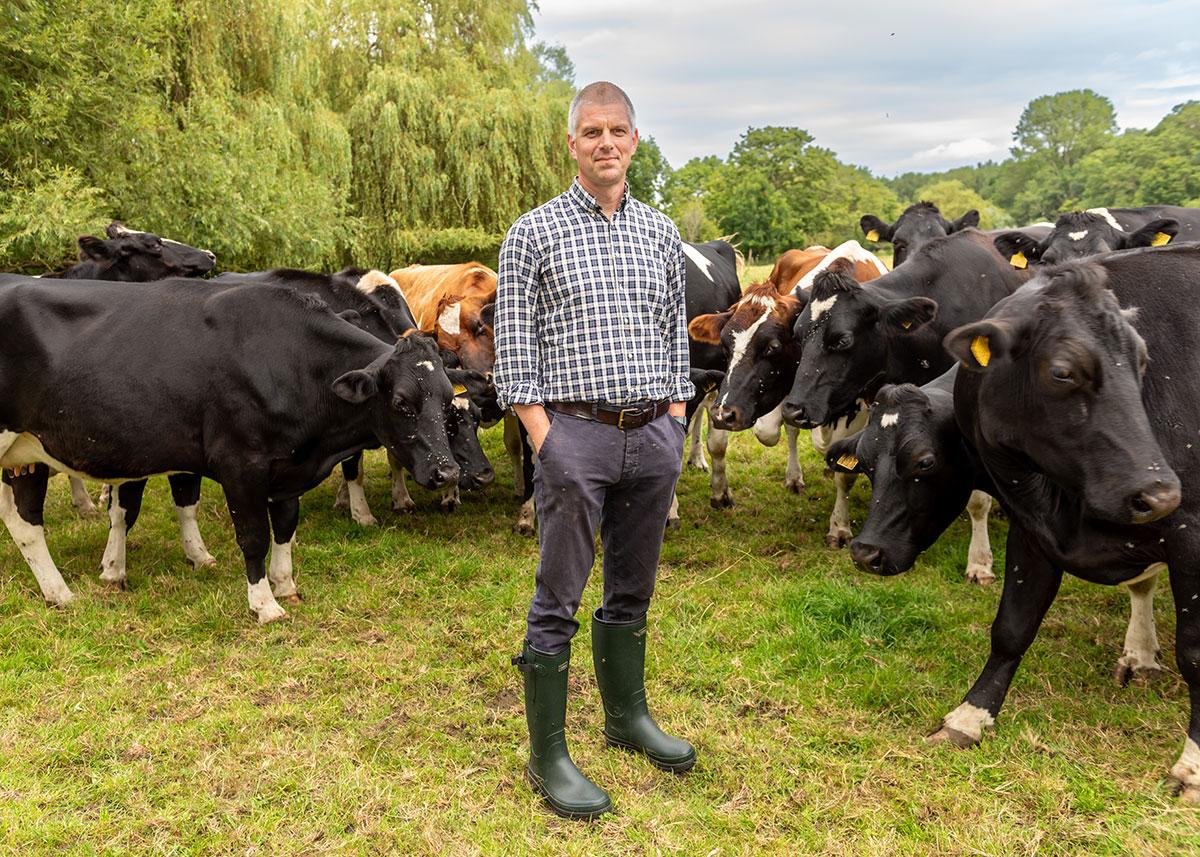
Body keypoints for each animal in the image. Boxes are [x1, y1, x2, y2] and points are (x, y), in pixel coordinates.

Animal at [0, 270, 458, 619]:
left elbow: (285, 528)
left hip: (25, 453)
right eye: (401, 402)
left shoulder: (288, 466)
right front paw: (265, 604)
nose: (447, 470)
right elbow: (254, 535)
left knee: (23, 522)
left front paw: (286, 585)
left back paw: (58, 593)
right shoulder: (241, 464)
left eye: (447, 399)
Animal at [921, 242, 1195, 801]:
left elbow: (1196, 653)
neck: (1062, 497)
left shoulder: (1192, 531)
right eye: (1063, 373)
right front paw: (970, 716)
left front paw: (1191, 767)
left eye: (1143, 362)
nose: (1160, 493)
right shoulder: (1030, 528)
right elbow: (1011, 627)